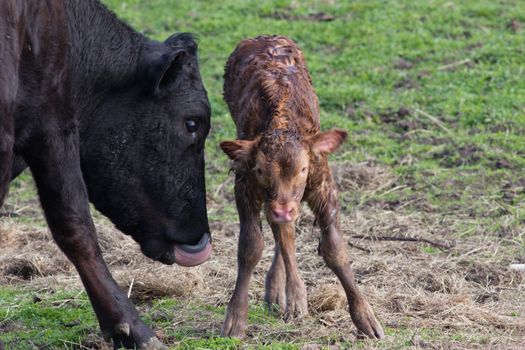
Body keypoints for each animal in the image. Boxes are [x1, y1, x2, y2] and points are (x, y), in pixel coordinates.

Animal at [219, 35, 382, 340]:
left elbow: (335, 249)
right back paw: (286, 293)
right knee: (282, 231)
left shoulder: (323, 184)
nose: (283, 209)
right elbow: (251, 246)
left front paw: (366, 318)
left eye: (304, 169)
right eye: (260, 169)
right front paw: (236, 318)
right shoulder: (245, 184)